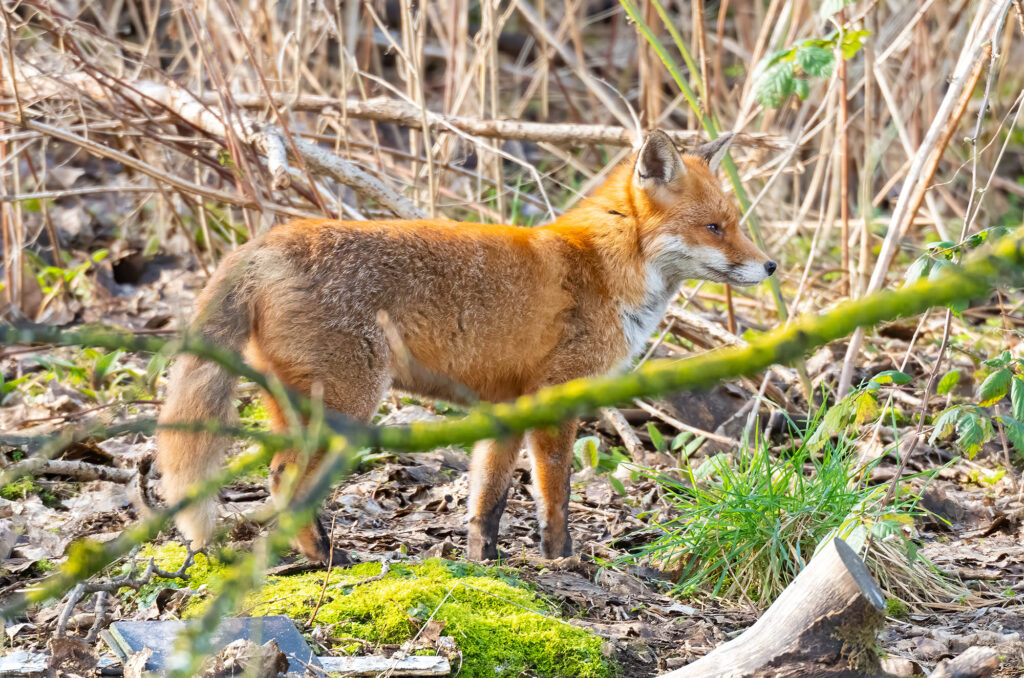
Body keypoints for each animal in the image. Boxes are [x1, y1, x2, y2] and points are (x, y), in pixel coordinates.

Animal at [155, 131, 770, 561]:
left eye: (736, 223)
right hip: (347, 407)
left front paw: (484, 561)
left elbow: (488, 499)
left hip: (295, 406)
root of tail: (263, 242)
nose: (770, 267)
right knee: (285, 479)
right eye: (714, 228)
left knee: (280, 475)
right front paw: (563, 560)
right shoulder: (556, 399)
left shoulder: (507, 407)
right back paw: (326, 557)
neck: (601, 267)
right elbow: (556, 496)